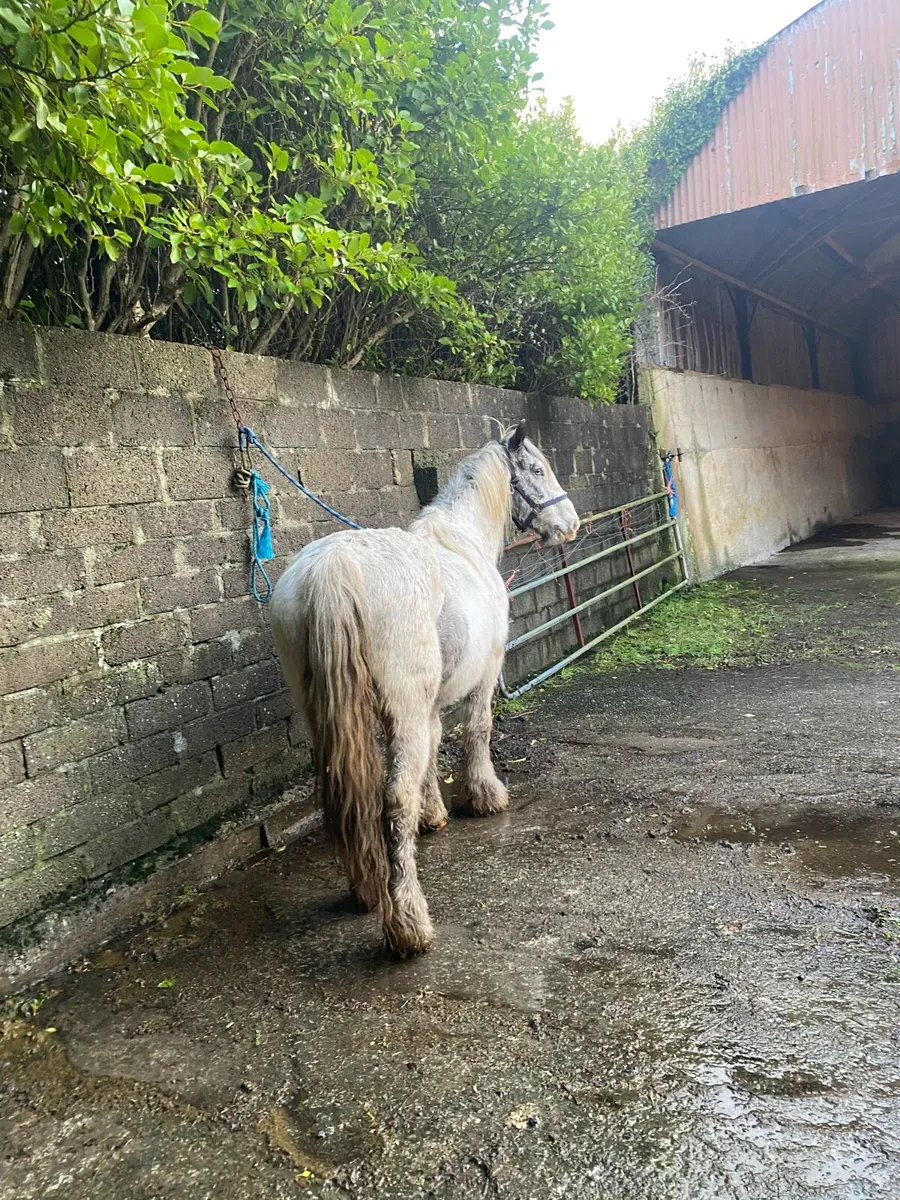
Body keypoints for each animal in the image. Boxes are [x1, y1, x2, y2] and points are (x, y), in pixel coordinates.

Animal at [270, 420, 580, 955]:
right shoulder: (483, 675)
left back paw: (367, 889)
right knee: (393, 797)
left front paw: (433, 814)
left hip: (325, 716)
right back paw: (408, 923)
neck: (462, 542)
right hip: (403, 710)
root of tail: (332, 568)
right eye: (537, 470)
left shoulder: (431, 704)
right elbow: (477, 731)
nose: (571, 523)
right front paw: (485, 796)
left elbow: (434, 749)